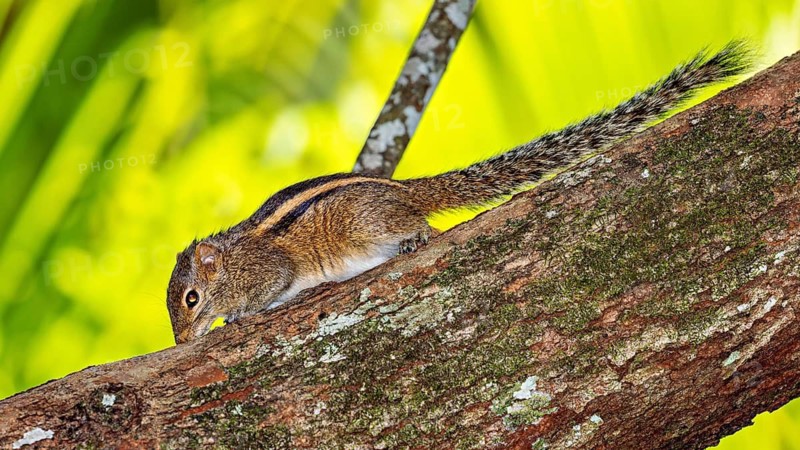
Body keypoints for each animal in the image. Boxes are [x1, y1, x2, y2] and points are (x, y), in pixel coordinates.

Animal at [167, 41, 753, 344]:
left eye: (191, 299)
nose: (180, 341)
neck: (234, 260)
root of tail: (406, 191)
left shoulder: (271, 269)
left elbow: (269, 289)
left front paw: (236, 316)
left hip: (367, 226)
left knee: (421, 225)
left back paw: (417, 236)